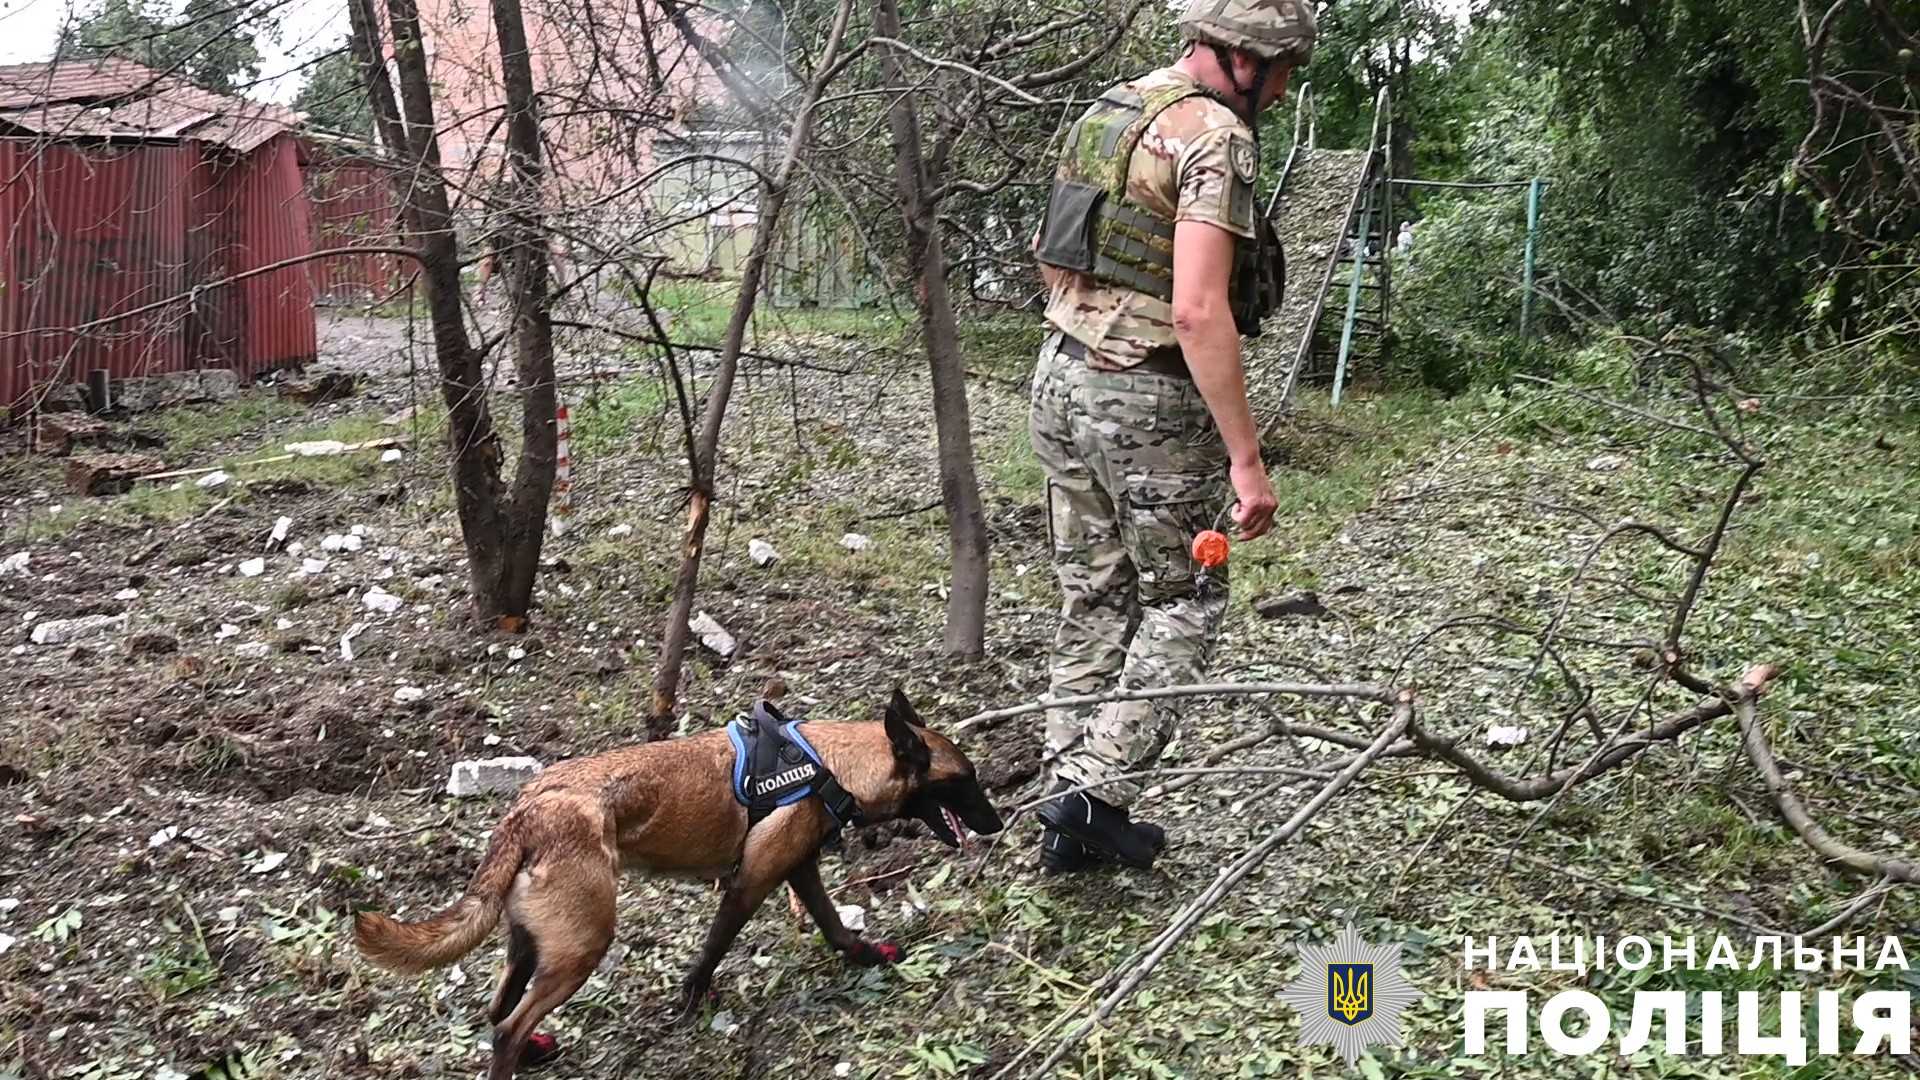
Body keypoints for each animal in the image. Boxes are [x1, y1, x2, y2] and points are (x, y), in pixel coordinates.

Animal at [357, 687, 1006, 1076]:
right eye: (965, 781)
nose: (998, 824)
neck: (829, 762)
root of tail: (529, 809)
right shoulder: (749, 883)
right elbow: (713, 949)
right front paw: (692, 1000)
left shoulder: (798, 868)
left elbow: (830, 923)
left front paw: (866, 954)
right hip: (584, 945)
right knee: (507, 1028)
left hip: (532, 945)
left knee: (499, 1011)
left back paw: (535, 1047)